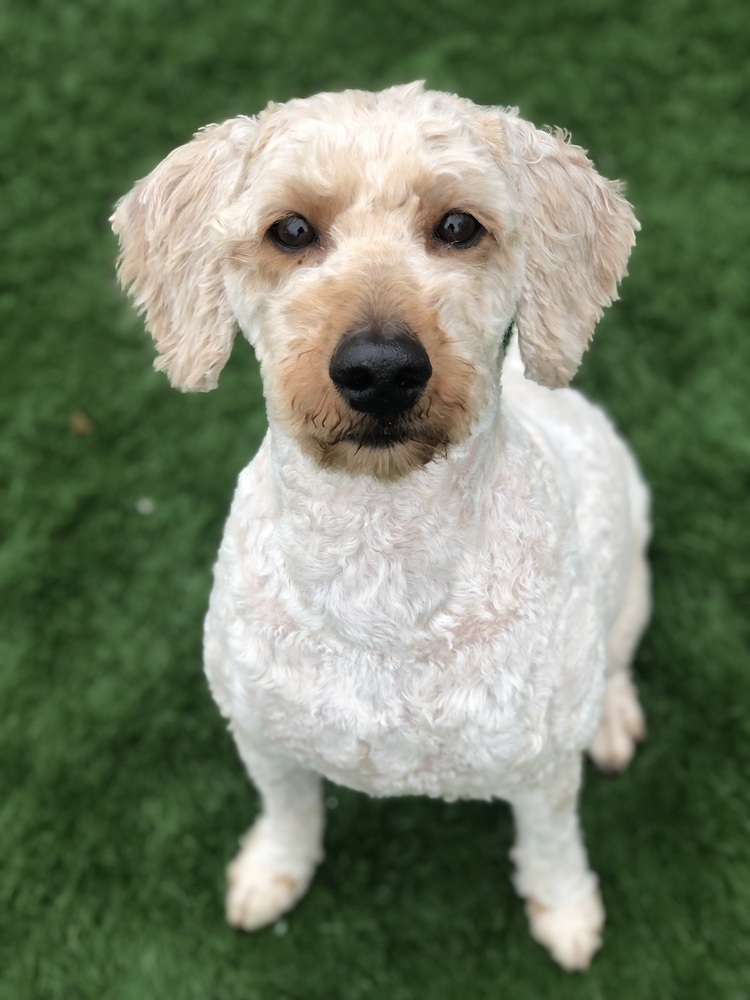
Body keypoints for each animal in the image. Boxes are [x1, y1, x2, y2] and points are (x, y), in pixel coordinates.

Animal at [111, 82, 652, 972]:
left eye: (459, 226)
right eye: (292, 230)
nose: (381, 369)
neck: (379, 569)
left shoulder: (541, 769)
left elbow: (551, 847)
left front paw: (568, 913)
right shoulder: (261, 736)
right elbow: (290, 814)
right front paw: (271, 873)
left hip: (632, 580)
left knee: (617, 658)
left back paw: (610, 718)